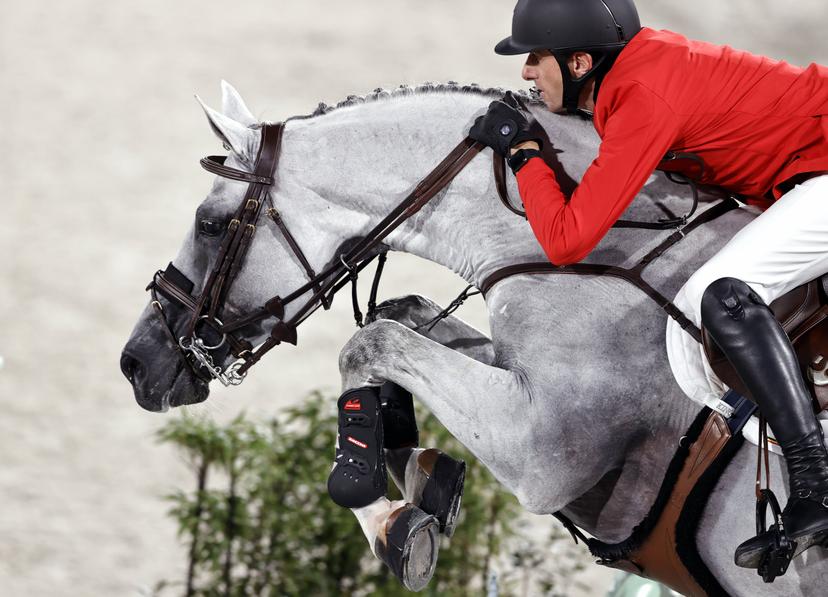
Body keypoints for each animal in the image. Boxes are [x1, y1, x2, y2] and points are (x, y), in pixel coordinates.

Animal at [121, 80, 828, 595]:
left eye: (210, 224)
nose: (136, 364)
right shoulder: (511, 382)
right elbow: (399, 317)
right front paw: (422, 474)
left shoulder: (545, 453)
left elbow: (370, 343)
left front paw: (386, 519)